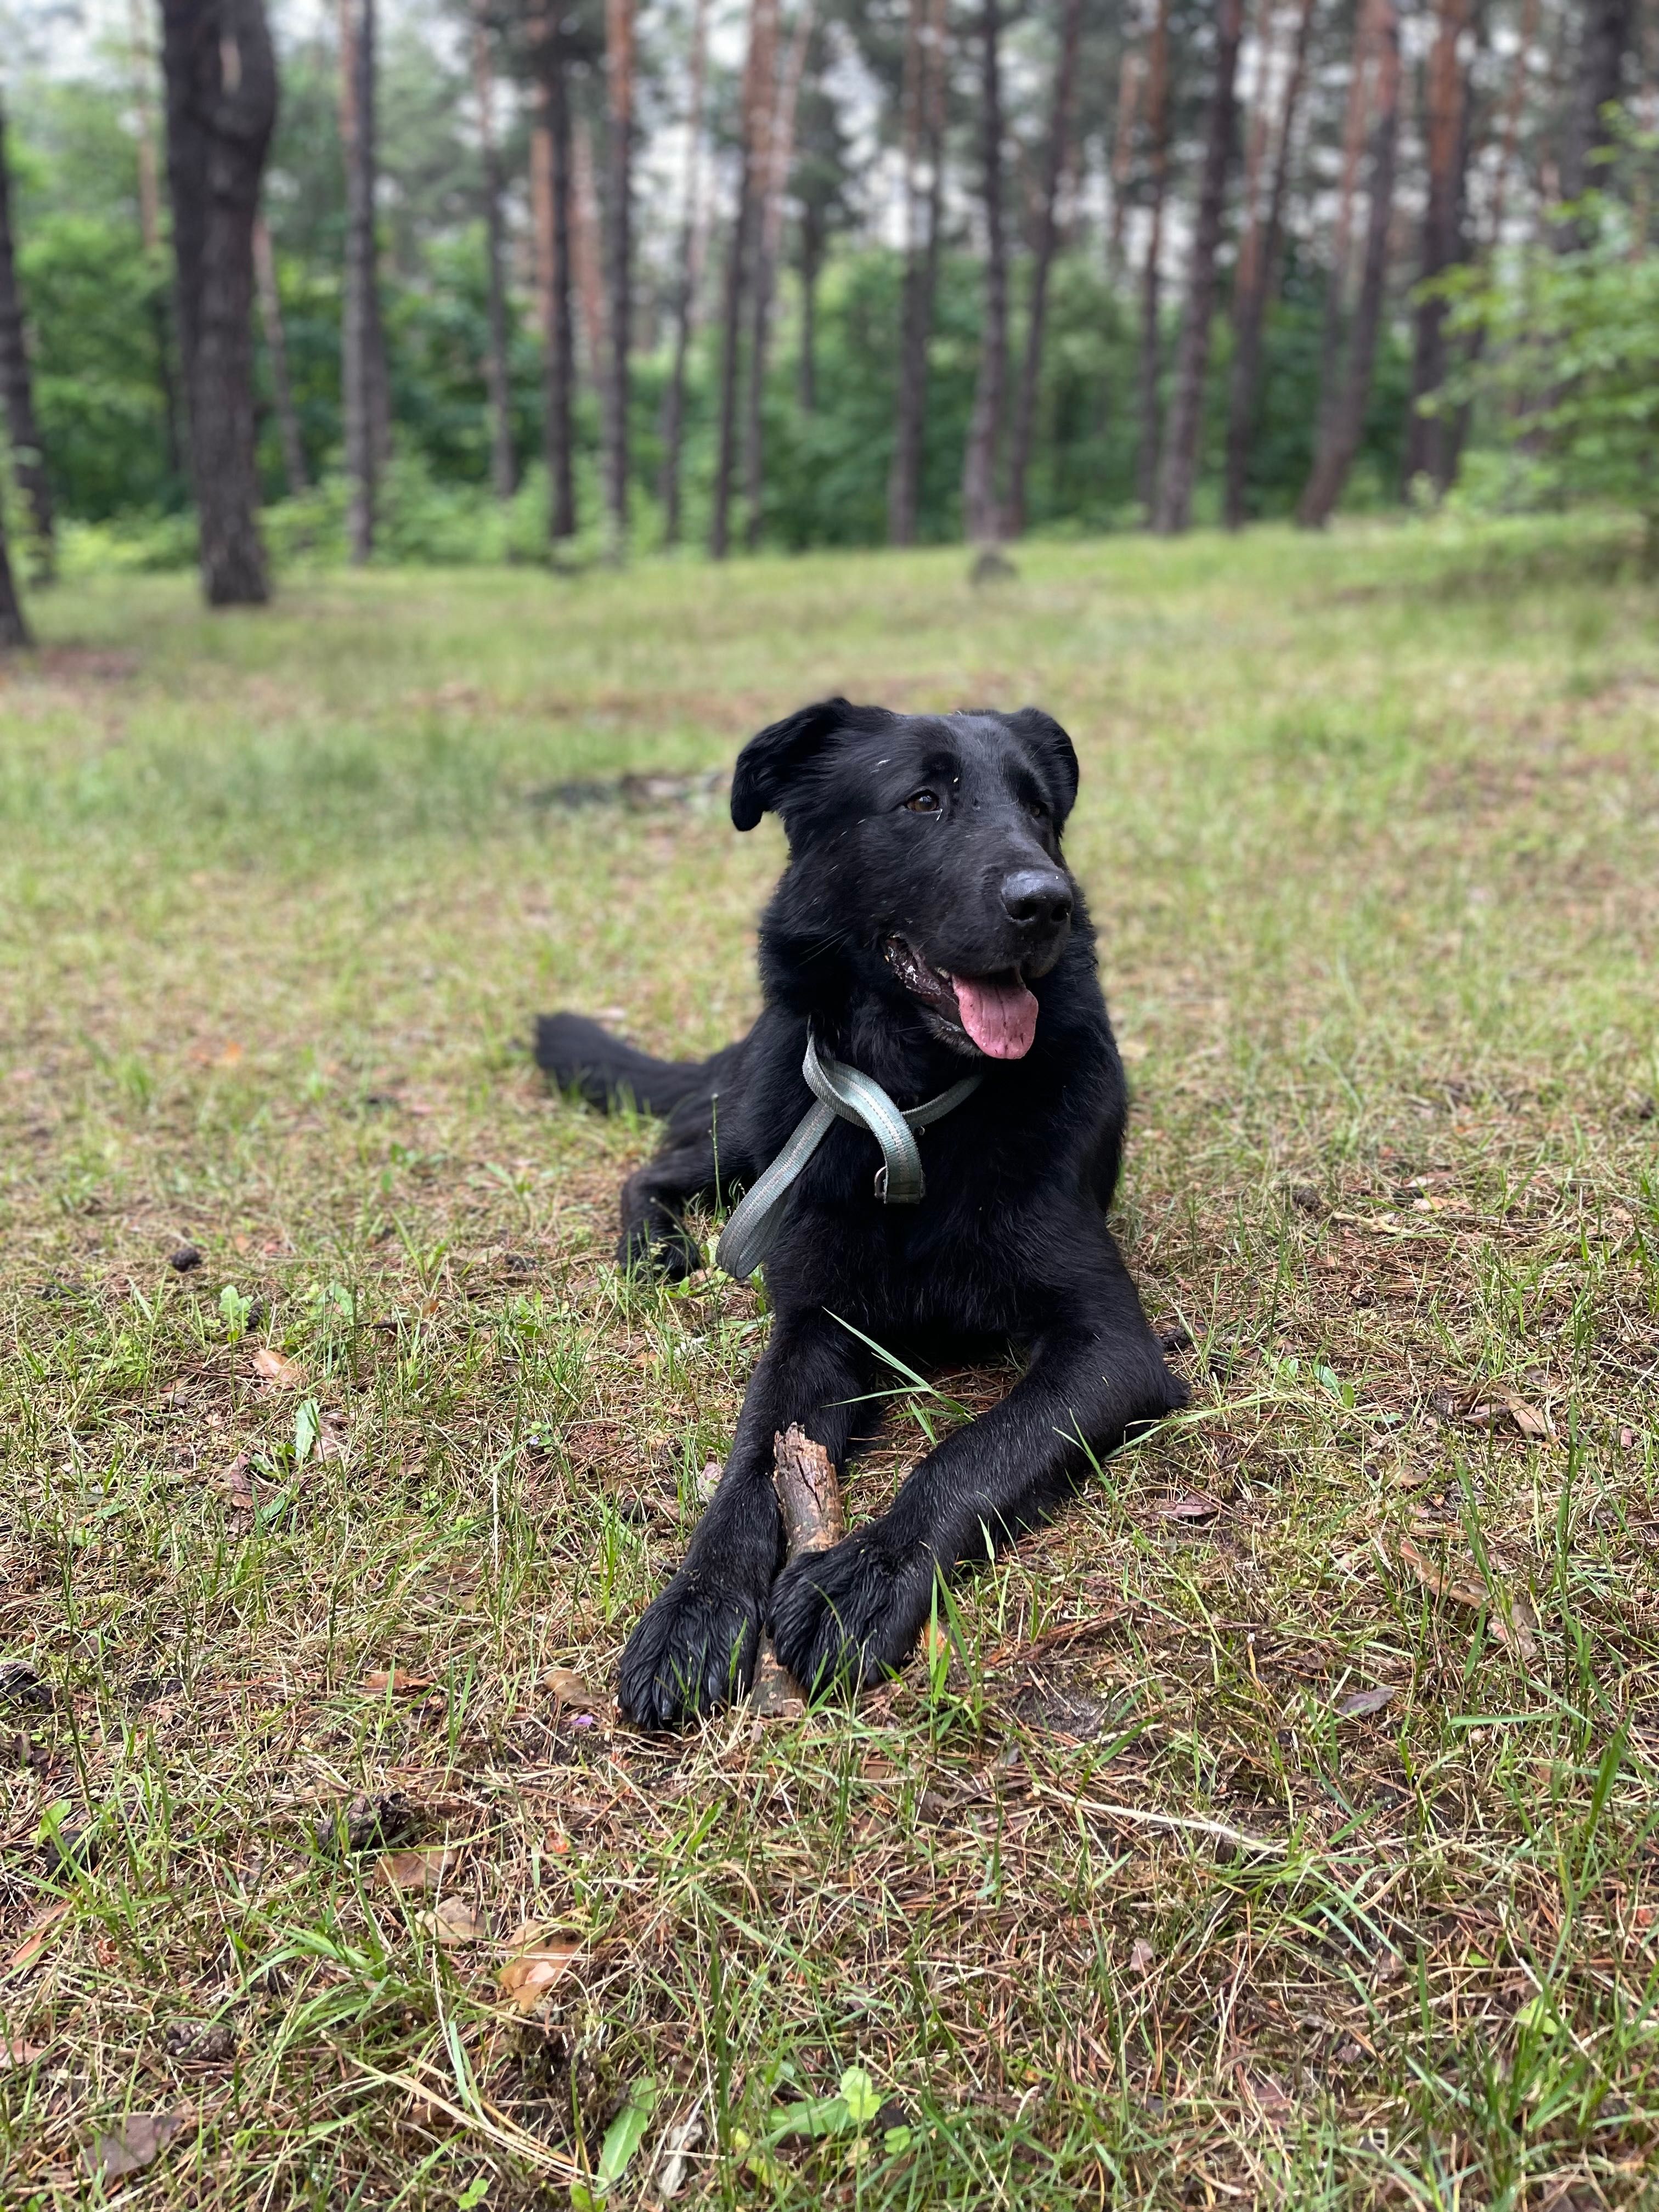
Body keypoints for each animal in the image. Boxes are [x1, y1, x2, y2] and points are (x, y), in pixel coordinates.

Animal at [539, 699, 1186, 1716]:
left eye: (1039, 812)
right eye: (922, 800)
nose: (1047, 901)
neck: (911, 1112)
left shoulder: (1109, 1347)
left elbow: (976, 1449)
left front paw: (865, 1579)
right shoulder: (815, 1323)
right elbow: (753, 1461)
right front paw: (697, 1604)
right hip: (753, 1125)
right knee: (655, 1167)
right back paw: (655, 1251)